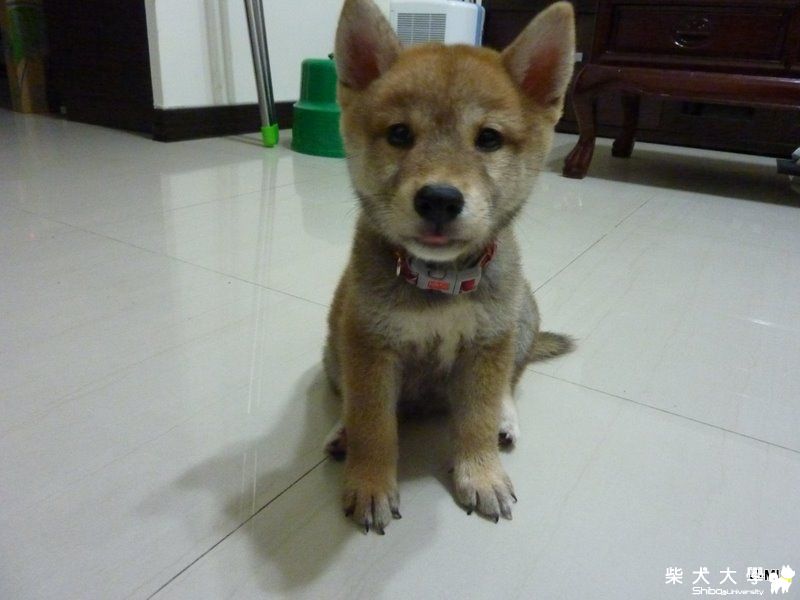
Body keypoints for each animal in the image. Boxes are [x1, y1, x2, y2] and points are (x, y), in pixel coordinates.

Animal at [323, 0, 576, 533]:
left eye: (489, 139)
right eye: (400, 134)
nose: (439, 198)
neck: (440, 282)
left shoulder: (487, 344)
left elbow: (477, 418)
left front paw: (481, 475)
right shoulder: (369, 344)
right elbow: (373, 422)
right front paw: (370, 481)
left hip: (521, 319)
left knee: (508, 384)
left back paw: (505, 420)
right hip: (335, 341)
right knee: (347, 398)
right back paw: (341, 432)